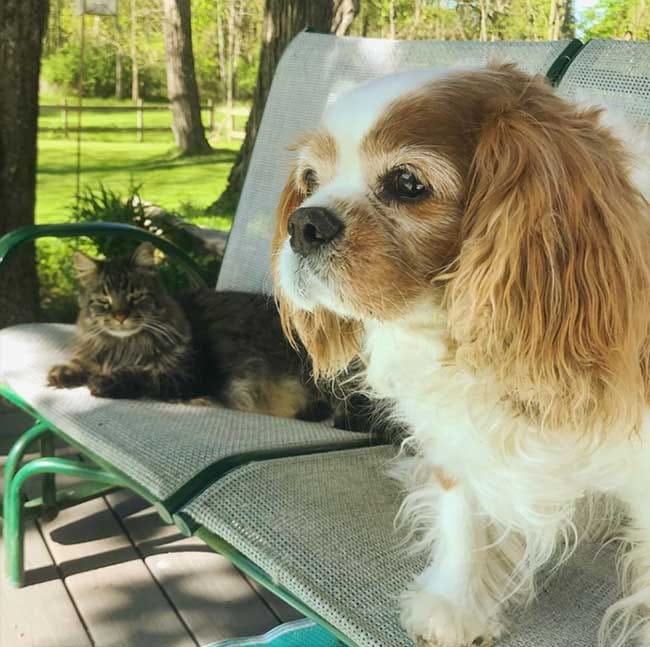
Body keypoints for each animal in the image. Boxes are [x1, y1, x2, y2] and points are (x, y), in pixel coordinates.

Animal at [270, 62, 648, 647]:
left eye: (407, 183)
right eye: (310, 180)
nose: (303, 223)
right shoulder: (455, 431)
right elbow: (462, 513)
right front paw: (455, 604)